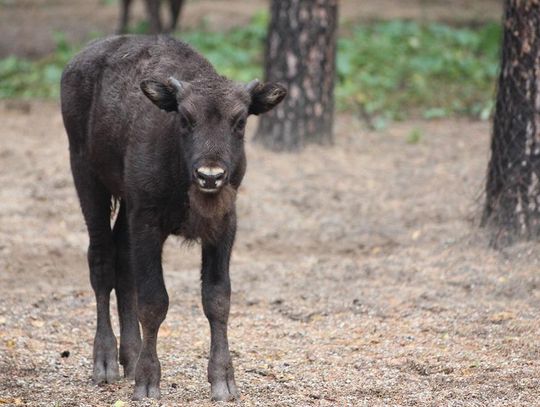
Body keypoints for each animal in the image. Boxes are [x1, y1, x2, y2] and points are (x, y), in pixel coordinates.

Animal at [60, 35, 284, 402]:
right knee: (102, 262)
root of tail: (77, 62)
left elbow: (217, 298)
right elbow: (154, 301)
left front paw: (224, 382)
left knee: (123, 265)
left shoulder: (222, 227)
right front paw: (148, 383)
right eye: (185, 118)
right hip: (87, 180)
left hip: (125, 205)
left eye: (239, 121)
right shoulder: (148, 224)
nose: (210, 175)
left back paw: (130, 356)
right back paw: (105, 364)